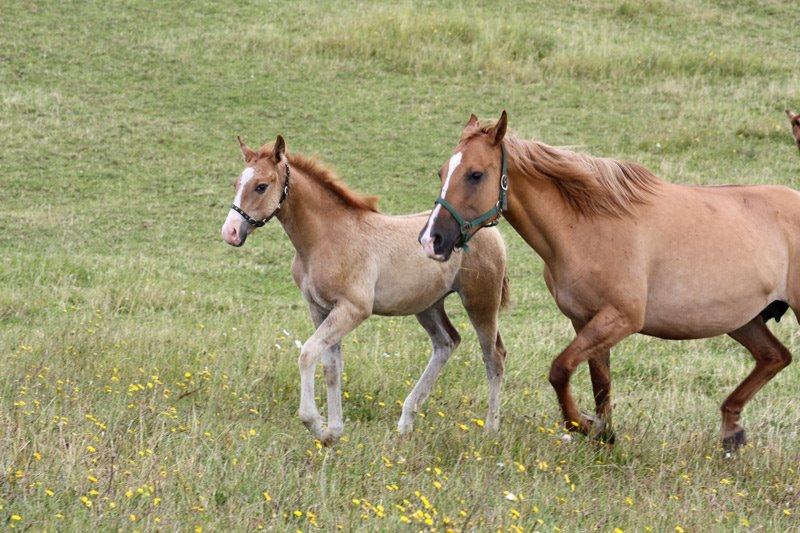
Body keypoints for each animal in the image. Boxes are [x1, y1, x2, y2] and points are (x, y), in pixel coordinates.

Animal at [219, 135, 506, 442]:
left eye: (261, 186)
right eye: (236, 184)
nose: (230, 232)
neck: (326, 237)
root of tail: (487, 228)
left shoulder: (353, 309)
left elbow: (308, 353)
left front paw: (314, 422)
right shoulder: (319, 308)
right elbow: (331, 367)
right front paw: (333, 433)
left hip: (480, 301)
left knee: (493, 356)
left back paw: (491, 430)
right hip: (428, 305)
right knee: (446, 342)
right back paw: (405, 422)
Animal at [422, 111, 796, 448]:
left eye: (475, 175)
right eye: (441, 172)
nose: (431, 239)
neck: (589, 226)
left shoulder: (620, 319)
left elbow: (560, 369)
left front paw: (583, 424)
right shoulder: (585, 321)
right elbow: (599, 382)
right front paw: (605, 435)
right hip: (742, 320)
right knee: (775, 357)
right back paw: (732, 431)